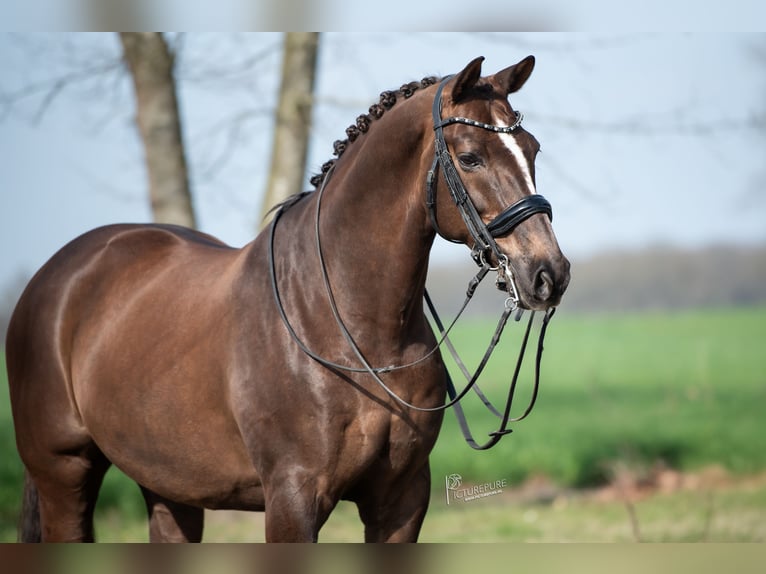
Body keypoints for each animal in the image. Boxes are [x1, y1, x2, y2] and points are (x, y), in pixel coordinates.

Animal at [6, 56, 570, 542]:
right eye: (470, 157)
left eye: (534, 150)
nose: (550, 274)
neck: (346, 323)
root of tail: (55, 277)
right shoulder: (292, 500)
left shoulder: (401, 500)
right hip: (64, 473)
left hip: (169, 488)